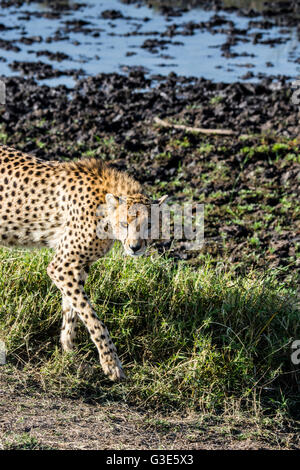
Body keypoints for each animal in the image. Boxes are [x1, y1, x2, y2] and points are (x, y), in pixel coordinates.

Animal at [0, 146, 166, 382]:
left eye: (149, 225)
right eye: (124, 224)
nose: (135, 247)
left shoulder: (76, 267)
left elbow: (72, 311)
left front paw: (70, 352)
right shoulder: (61, 266)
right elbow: (92, 318)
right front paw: (111, 363)